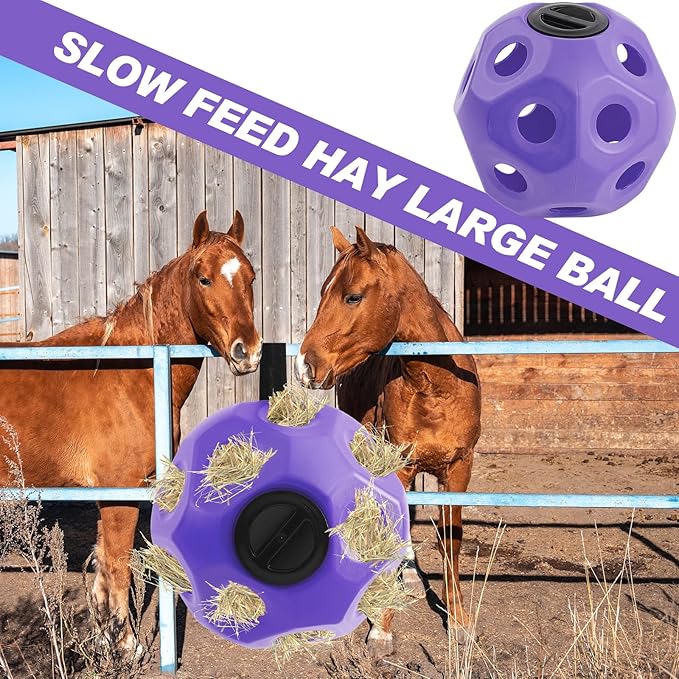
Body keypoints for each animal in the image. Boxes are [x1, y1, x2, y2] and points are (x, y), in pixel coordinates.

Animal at [0, 210, 261, 651]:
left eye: (250, 276)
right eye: (203, 278)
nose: (249, 352)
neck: (127, 369)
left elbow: (105, 565)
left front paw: (104, 635)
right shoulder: (121, 490)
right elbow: (119, 565)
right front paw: (127, 643)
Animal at [295, 226, 481, 656]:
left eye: (352, 296)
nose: (305, 365)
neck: (437, 386)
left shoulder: (459, 469)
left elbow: (452, 542)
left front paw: (459, 623)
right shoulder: (398, 465)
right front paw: (382, 628)